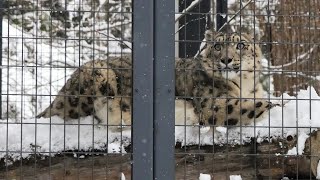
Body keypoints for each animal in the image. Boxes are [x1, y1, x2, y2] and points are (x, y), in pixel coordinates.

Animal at [37, 30, 278, 132]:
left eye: (240, 45)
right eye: (218, 46)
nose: (226, 59)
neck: (245, 85)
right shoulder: (213, 104)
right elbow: (253, 106)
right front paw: (278, 106)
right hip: (97, 77)